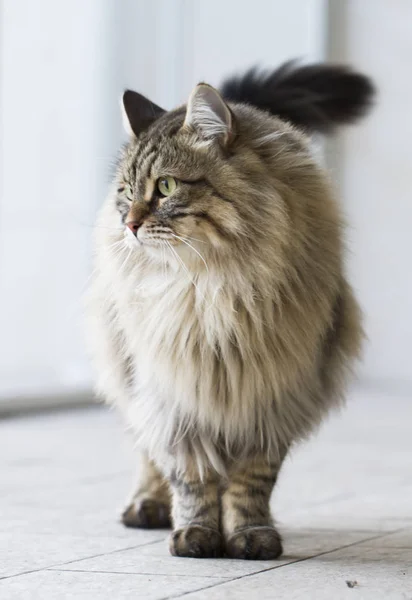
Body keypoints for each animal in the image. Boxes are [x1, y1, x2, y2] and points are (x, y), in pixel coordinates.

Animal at [85, 59, 374, 556]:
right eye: (126, 191)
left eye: (165, 186)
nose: (130, 225)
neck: (210, 291)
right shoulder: (177, 395)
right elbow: (190, 475)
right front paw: (196, 533)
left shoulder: (271, 396)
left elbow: (250, 481)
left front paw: (249, 534)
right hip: (132, 374)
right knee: (146, 450)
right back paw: (147, 506)